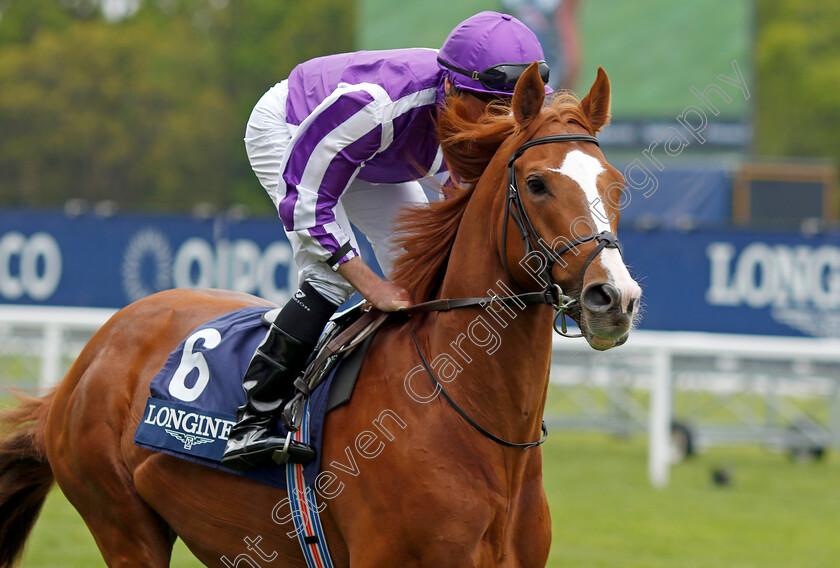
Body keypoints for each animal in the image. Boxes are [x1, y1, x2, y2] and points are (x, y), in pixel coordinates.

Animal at [0, 64, 640, 564]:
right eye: (536, 183)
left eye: (616, 185)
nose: (614, 298)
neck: (477, 426)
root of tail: (92, 354)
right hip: (123, 525)